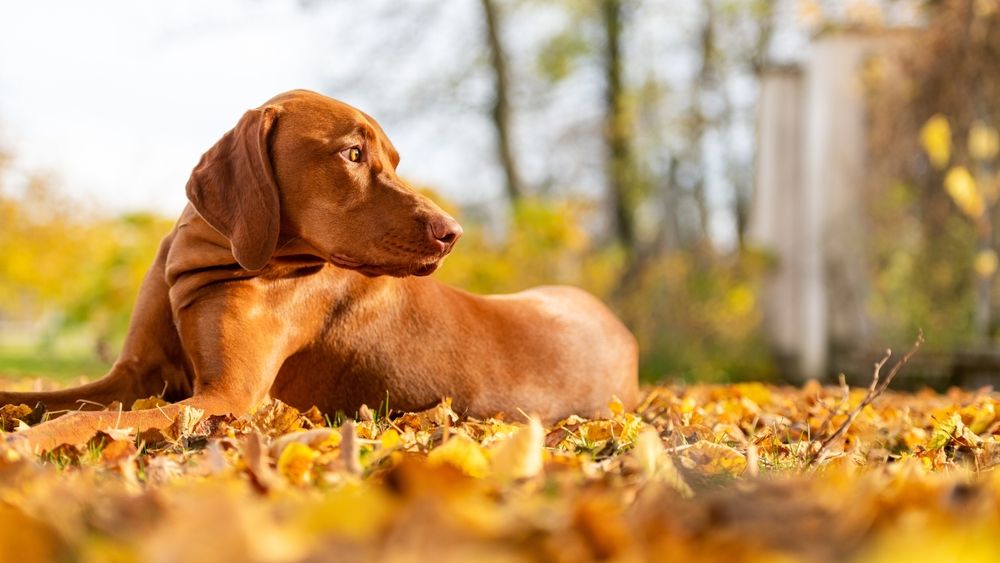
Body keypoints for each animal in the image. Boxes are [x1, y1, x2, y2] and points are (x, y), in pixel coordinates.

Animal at [0, 91, 636, 454]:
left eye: (393, 160)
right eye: (353, 154)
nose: (452, 232)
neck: (211, 253)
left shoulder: (224, 398)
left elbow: (87, 421)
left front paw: (27, 445)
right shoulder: (134, 375)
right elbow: (49, 400)